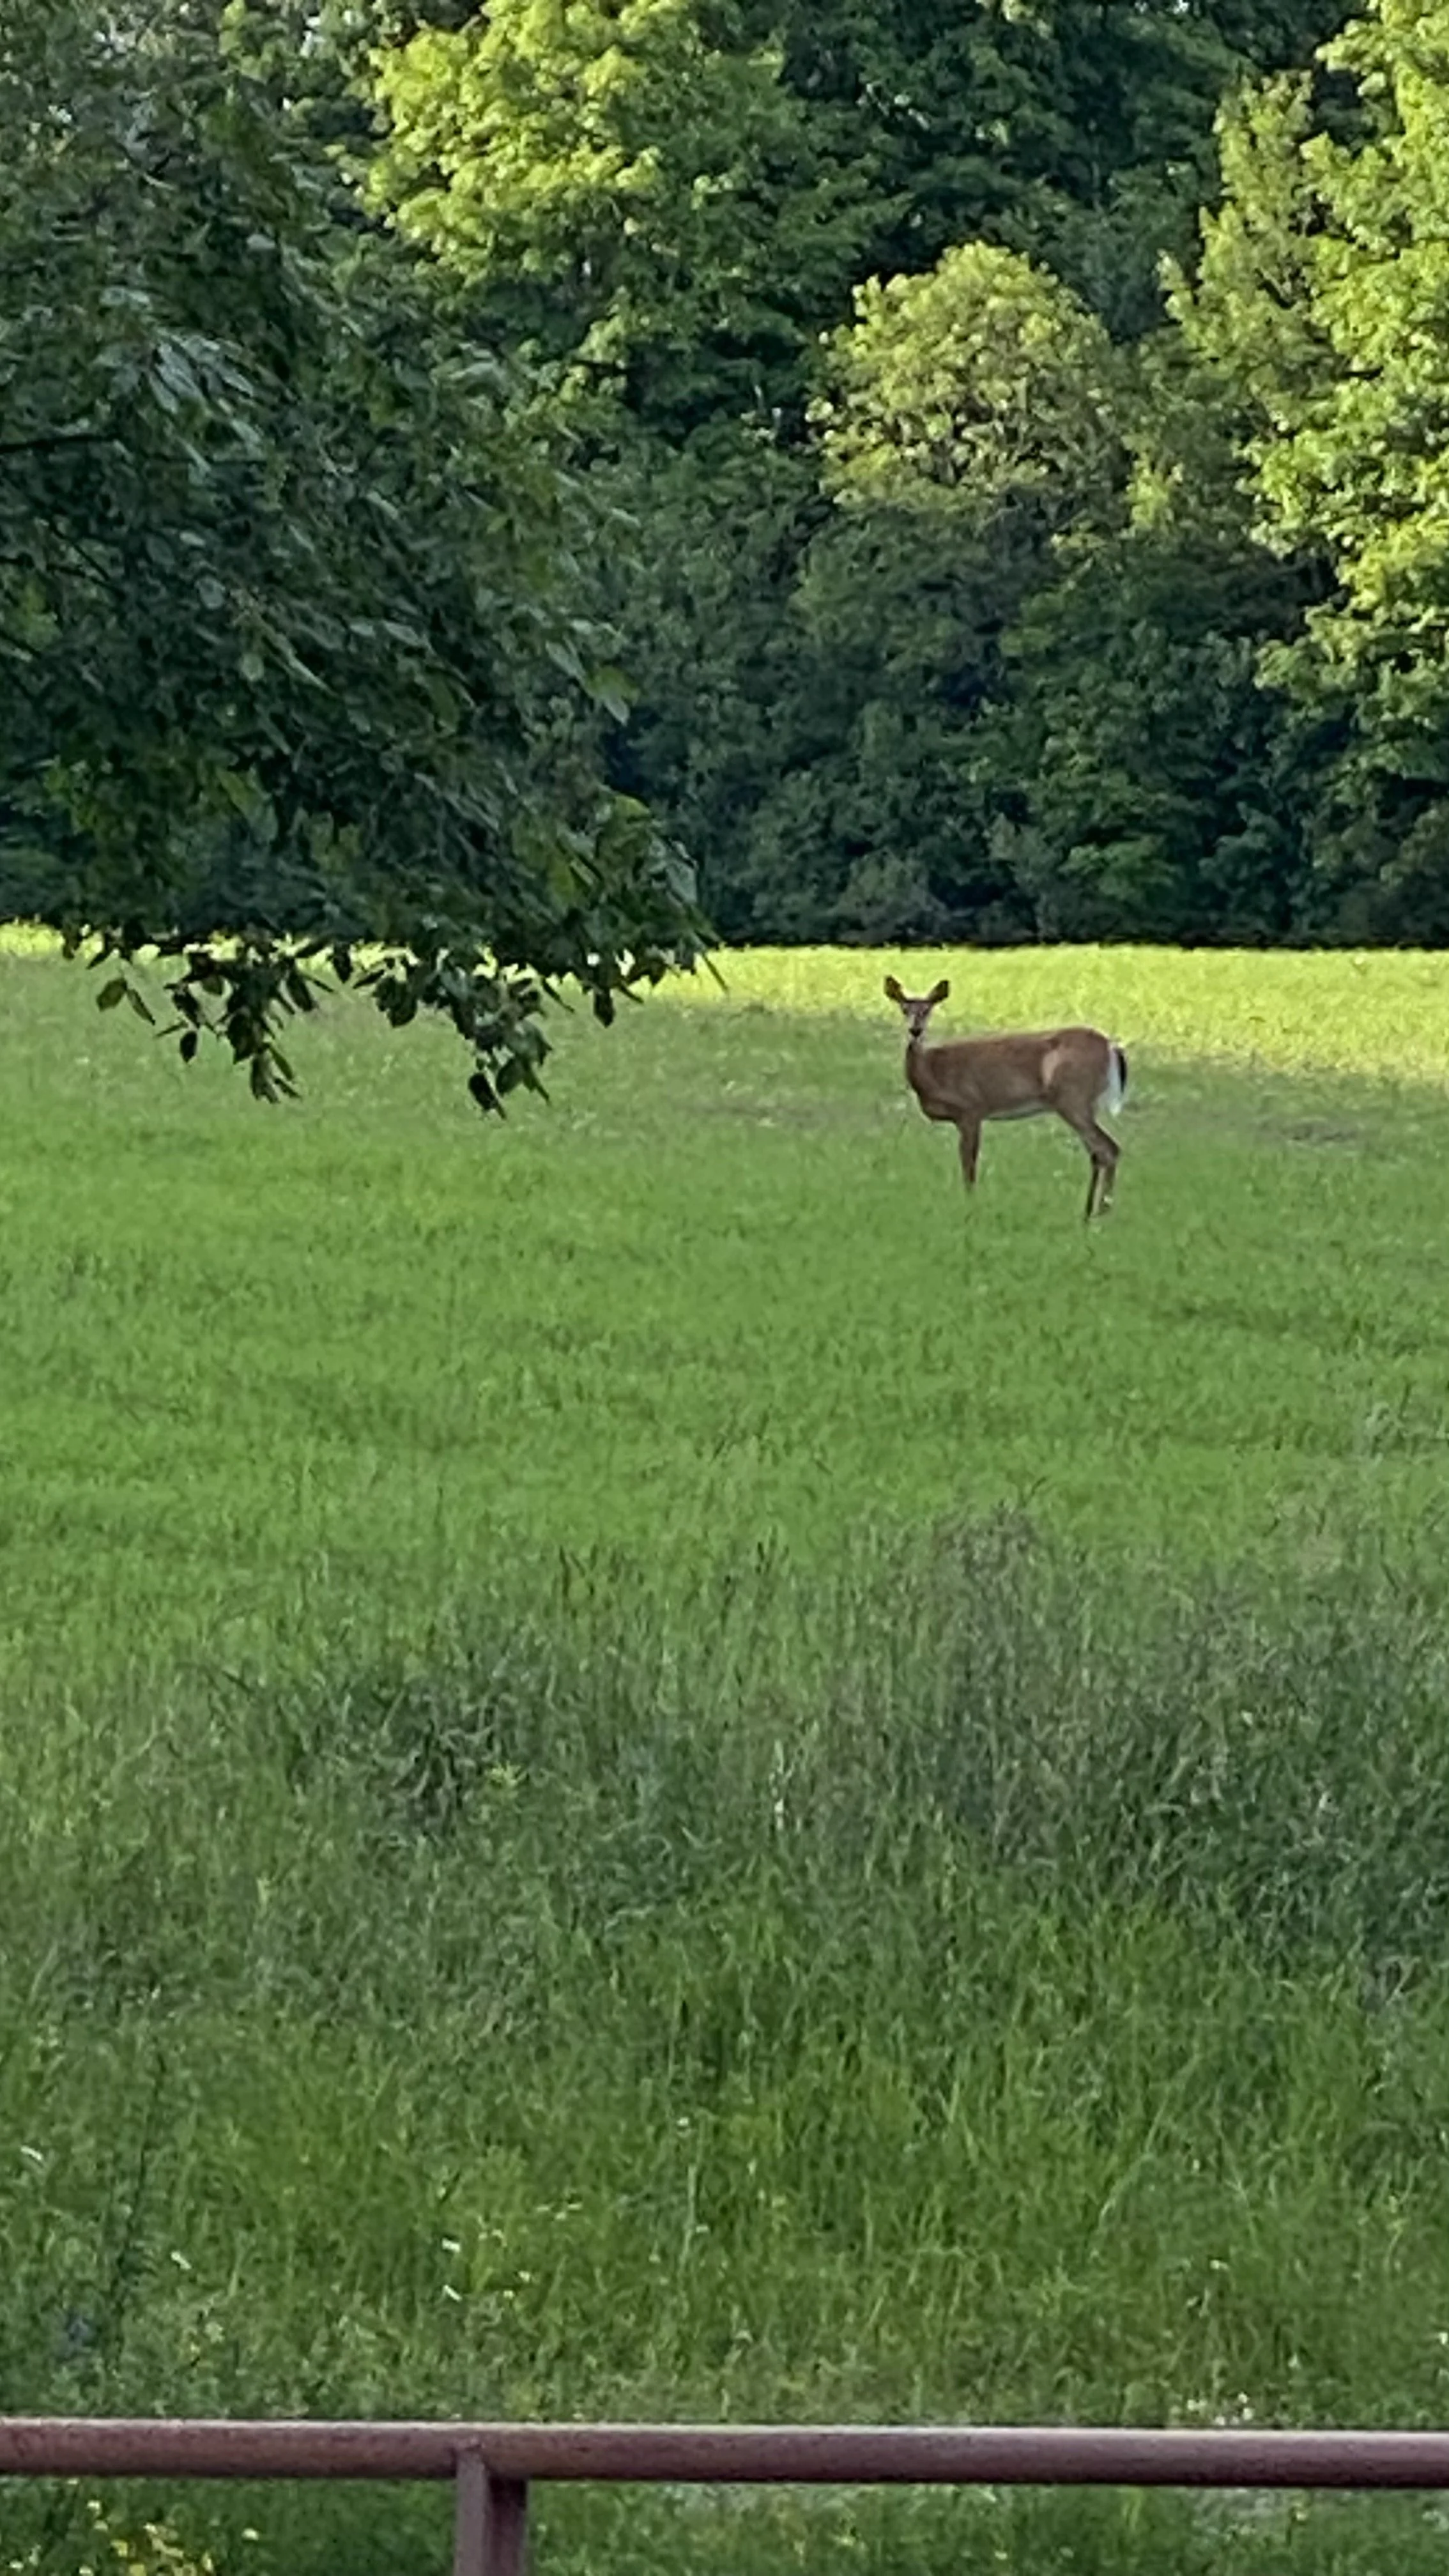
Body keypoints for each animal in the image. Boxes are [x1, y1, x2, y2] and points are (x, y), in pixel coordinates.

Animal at [884, 974, 1128, 1220]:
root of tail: (1112, 1048)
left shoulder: (971, 1109)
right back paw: (1088, 1213)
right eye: (904, 1009)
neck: (932, 1072)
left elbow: (969, 1164)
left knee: (1109, 1148)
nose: (915, 1030)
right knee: (1097, 1153)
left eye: (928, 1010)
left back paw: (1102, 1213)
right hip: (1083, 1104)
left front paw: (969, 1205)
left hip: (1073, 1098)